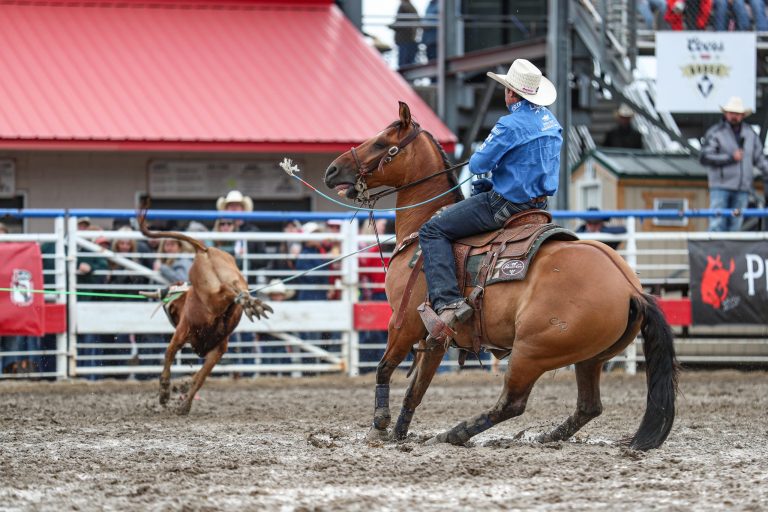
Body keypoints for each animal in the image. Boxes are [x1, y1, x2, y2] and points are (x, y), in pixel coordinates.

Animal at [324, 102, 680, 450]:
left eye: (381, 143)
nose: (332, 171)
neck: (420, 230)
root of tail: (630, 288)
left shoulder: (404, 322)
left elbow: (384, 368)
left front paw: (379, 427)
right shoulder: (435, 336)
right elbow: (416, 390)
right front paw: (399, 434)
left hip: (530, 352)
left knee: (512, 403)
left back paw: (455, 434)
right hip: (589, 357)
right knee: (588, 406)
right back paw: (547, 437)